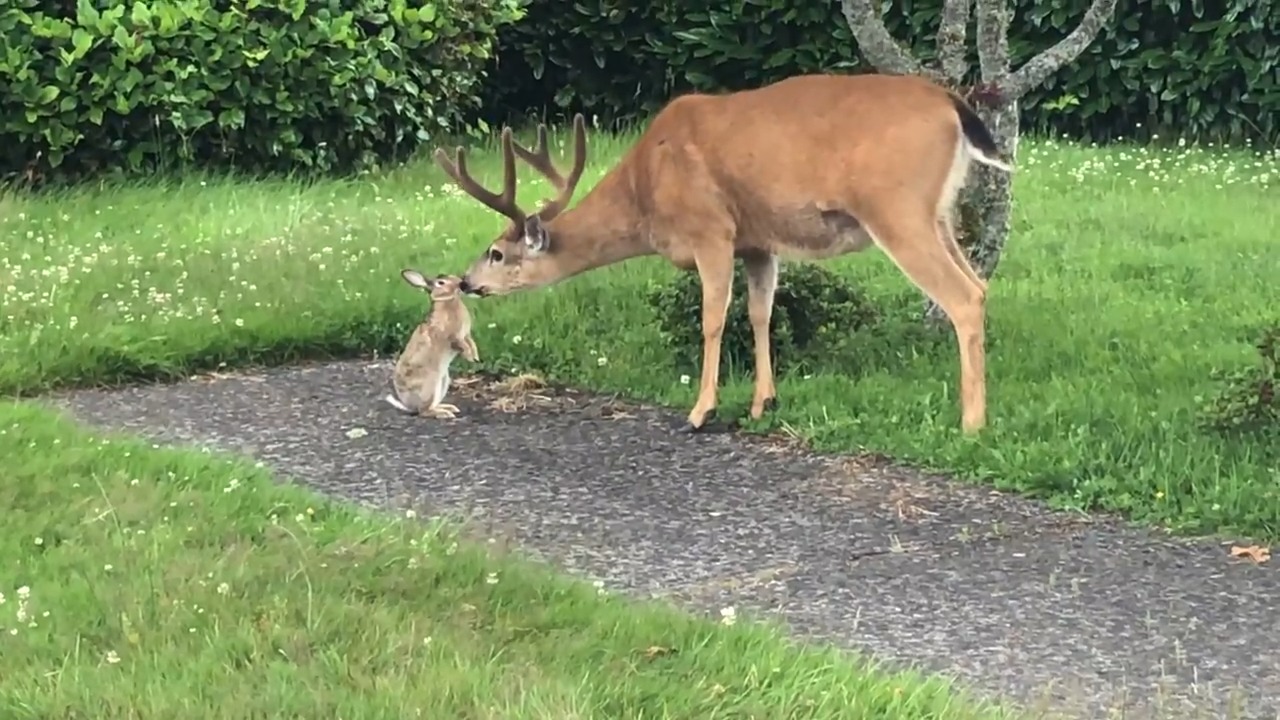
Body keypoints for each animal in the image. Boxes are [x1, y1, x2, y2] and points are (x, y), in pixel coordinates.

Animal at [384, 270, 480, 419]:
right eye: (441, 282)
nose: (461, 282)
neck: (447, 301)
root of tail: (409, 405)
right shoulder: (453, 337)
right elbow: (461, 345)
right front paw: (470, 357)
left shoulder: (466, 335)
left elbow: (470, 342)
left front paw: (475, 357)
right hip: (429, 386)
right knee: (424, 411)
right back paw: (445, 413)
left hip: (443, 382)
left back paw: (449, 408)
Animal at [433, 72, 1012, 435]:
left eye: (496, 253)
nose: (465, 282)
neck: (646, 191)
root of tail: (954, 106)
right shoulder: (757, 241)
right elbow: (760, 312)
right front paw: (763, 403)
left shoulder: (710, 229)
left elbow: (712, 318)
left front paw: (701, 411)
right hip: (938, 214)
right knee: (980, 285)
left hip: (896, 205)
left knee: (962, 297)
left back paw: (972, 424)